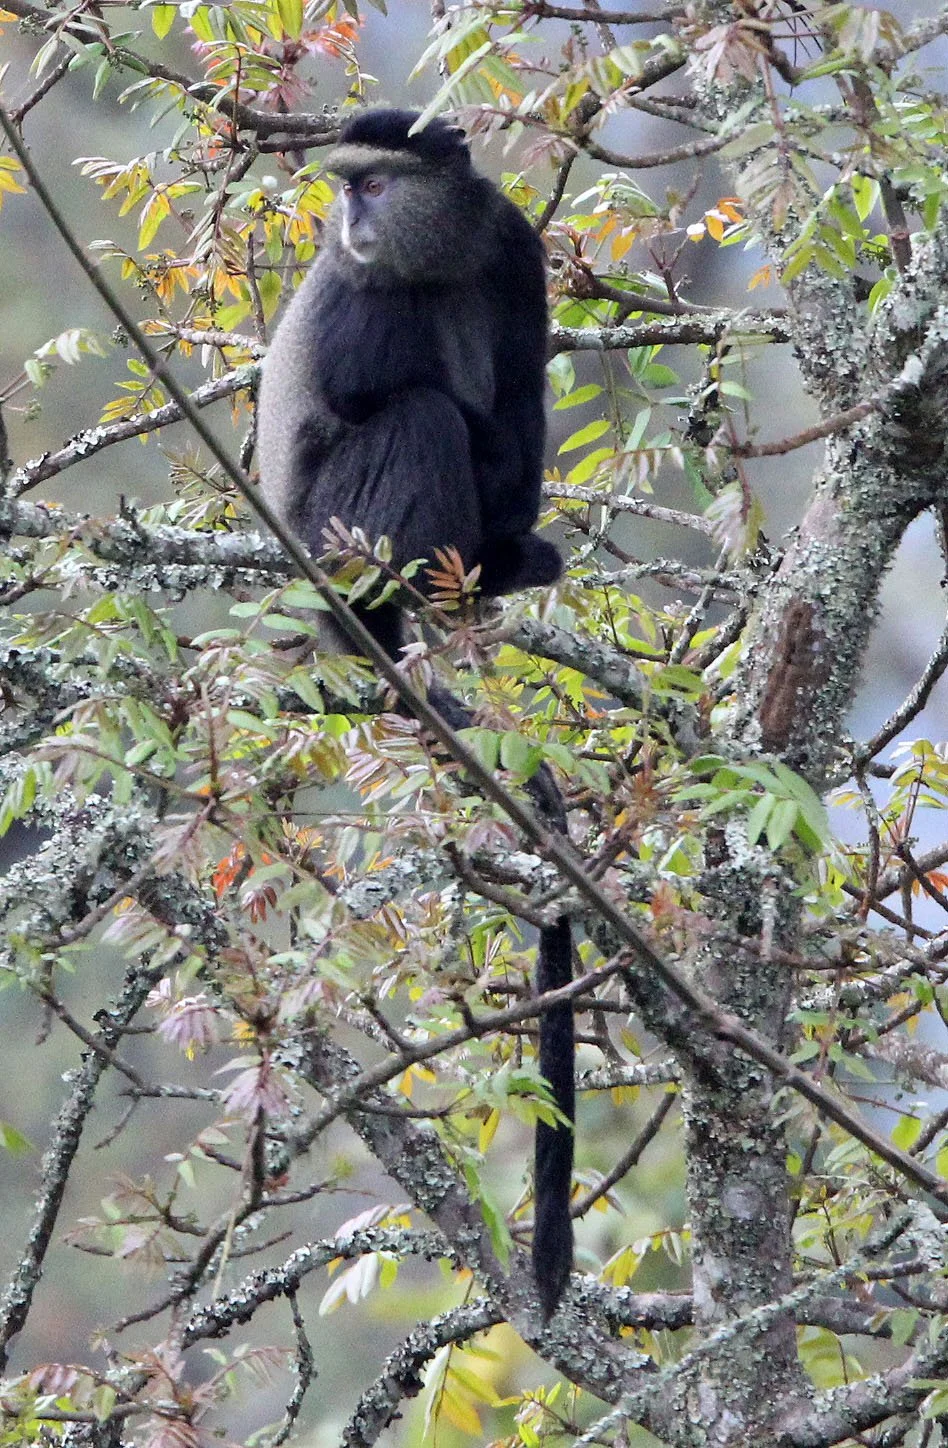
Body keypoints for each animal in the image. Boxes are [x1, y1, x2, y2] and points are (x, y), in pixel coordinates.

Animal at [257, 108, 574, 1317]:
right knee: (419, 414)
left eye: (378, 184)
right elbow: (366, 397)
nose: (346, 219)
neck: (432, 261)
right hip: (332, 531)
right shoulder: (365, 297)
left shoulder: (512, 252)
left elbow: (523, 397)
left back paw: (495, 567)